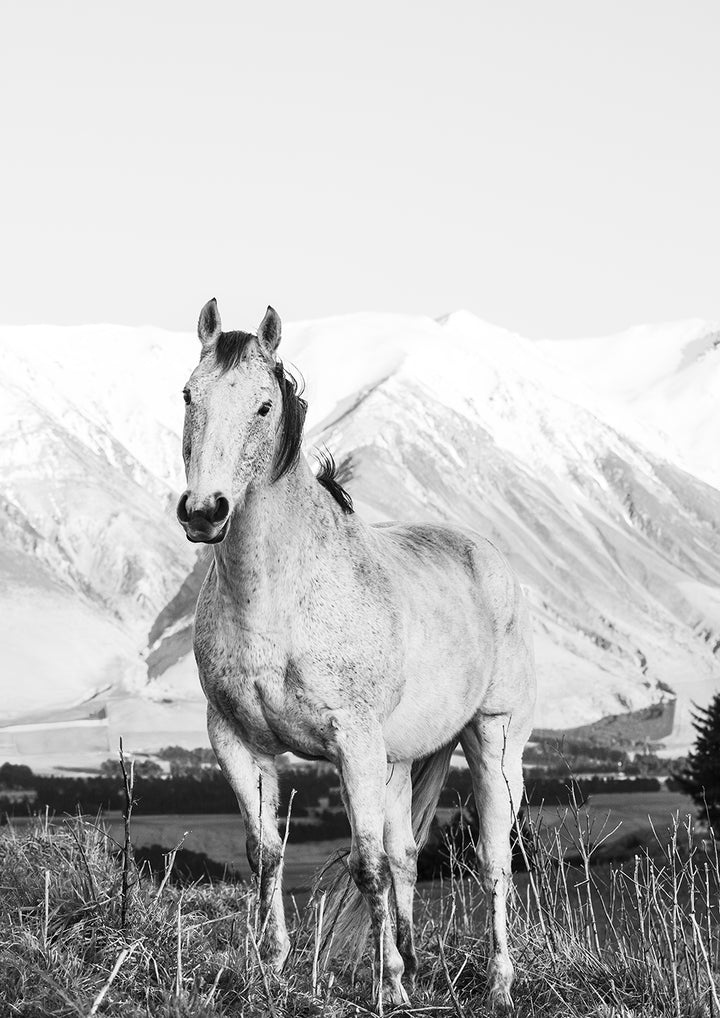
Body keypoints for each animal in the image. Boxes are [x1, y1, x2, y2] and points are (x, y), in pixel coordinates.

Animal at [176, 298, 536, 1009]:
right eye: (188, 396)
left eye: (264, 406)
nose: (204, 512)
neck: (278, 599)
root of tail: (490, 557)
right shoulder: (236, 739)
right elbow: (267, 852)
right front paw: (271, 967)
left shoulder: (354, 744)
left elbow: (365, 863)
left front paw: (387, 988)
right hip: (400, 759)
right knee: (406, 855)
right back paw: (416, 962)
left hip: (493, 739)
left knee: (491, 860)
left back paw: (499, 984)